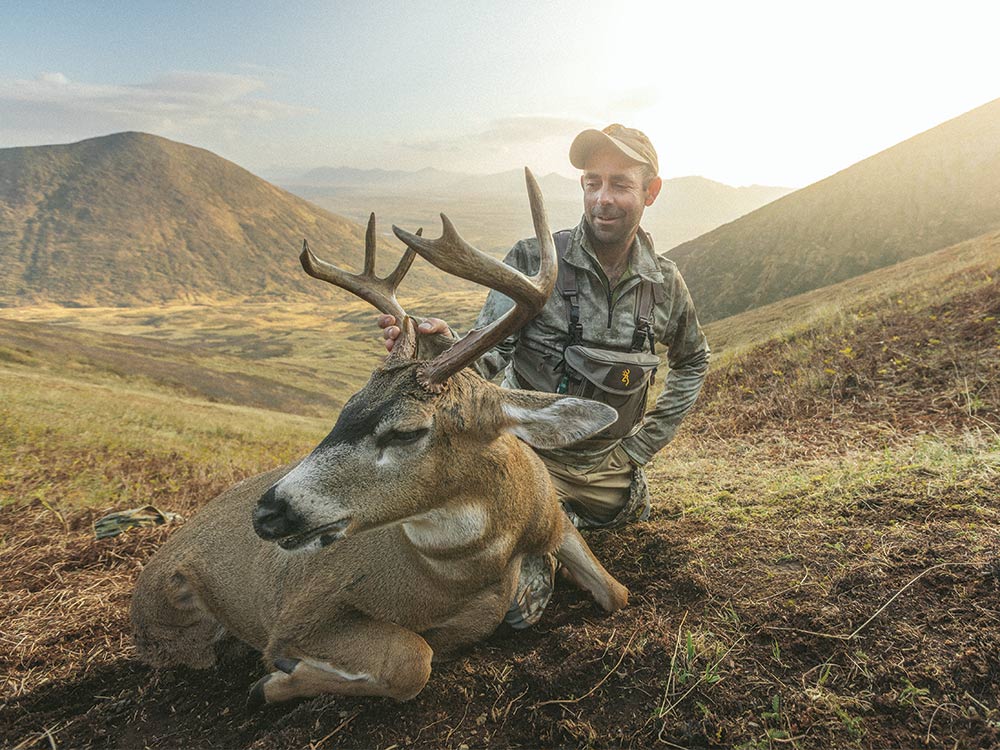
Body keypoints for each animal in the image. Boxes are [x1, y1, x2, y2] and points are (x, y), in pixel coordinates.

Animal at [129, 167, 628, 708]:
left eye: (407, 431)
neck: (468, 568)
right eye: (344, 407)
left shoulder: (553, 517)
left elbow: (617, 593)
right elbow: (411, 659)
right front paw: (274, 680)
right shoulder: (303, 610)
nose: (267, 513)